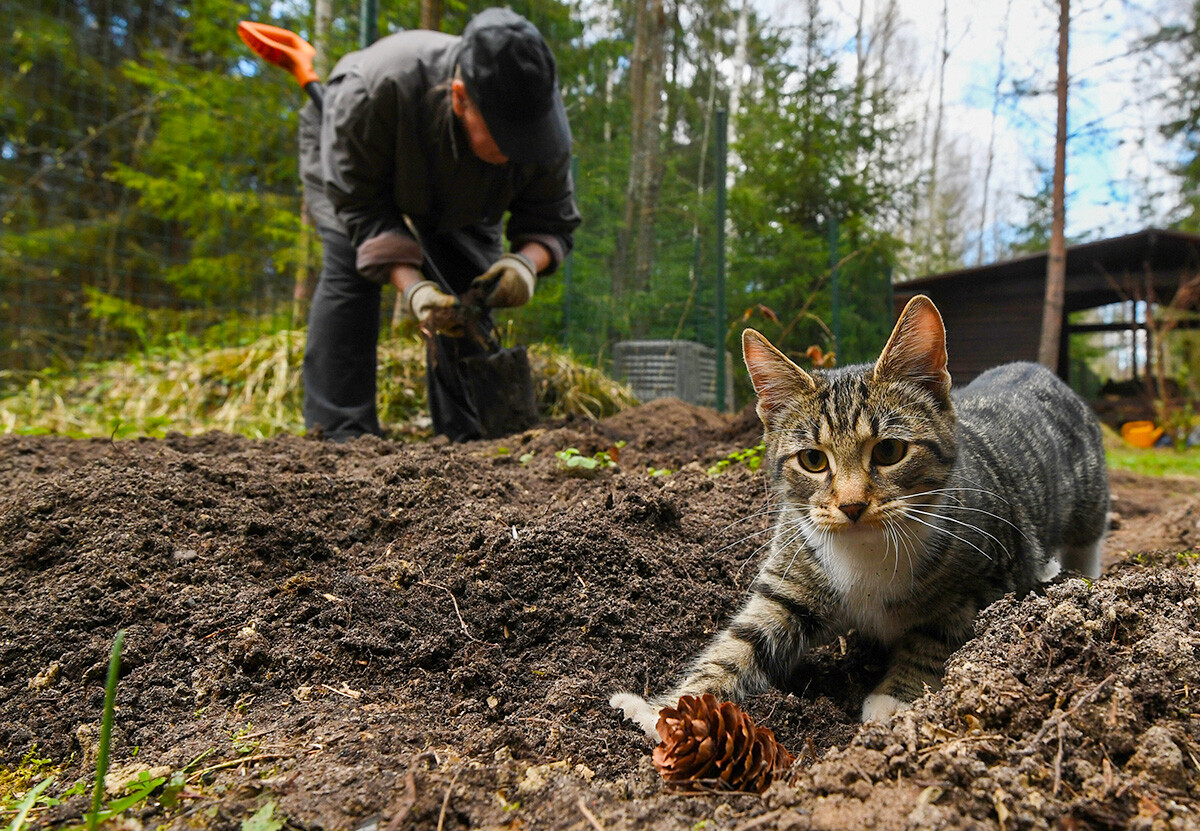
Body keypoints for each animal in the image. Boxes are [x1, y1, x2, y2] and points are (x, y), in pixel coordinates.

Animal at [614, 295, 1108, 734]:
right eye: (813, 460)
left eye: (889, 451)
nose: (851, 505)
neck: (867, 548)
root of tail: (1033, 367)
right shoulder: (793, 573)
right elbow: (741, 642)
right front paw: (667, 710)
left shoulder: (983, 580)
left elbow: (936, 637)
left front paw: (894, 698)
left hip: (1090, 499)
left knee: (1087, 541)